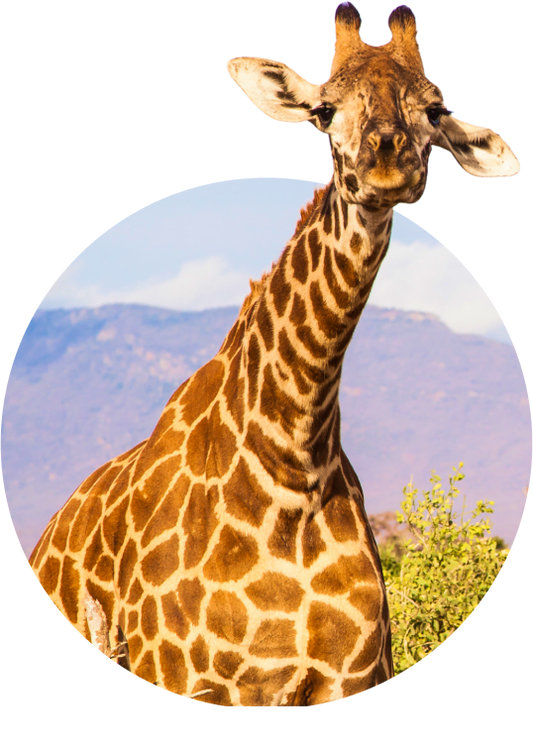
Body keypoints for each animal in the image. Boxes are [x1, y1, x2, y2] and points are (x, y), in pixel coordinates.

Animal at [27, 2, 522, 709]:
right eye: (324, 109)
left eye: (433, 110)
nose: (388, 164)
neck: (293, 464)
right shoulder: (183, 674)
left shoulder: (350, 676)